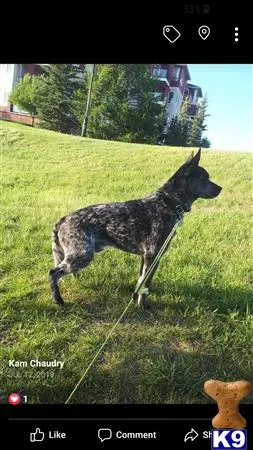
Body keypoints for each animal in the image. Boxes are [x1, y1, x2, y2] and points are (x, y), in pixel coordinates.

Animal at [49, 148, 221, 310]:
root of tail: (63, 219)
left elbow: (140, 282)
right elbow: (146, 285)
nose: (221, 189)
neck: (168, 203)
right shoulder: (152, 256)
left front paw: (135, 299)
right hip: (83, 255)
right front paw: (143, 306)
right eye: (205, 178)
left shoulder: (145, 257)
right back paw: (58, 300)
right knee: (53, 273)